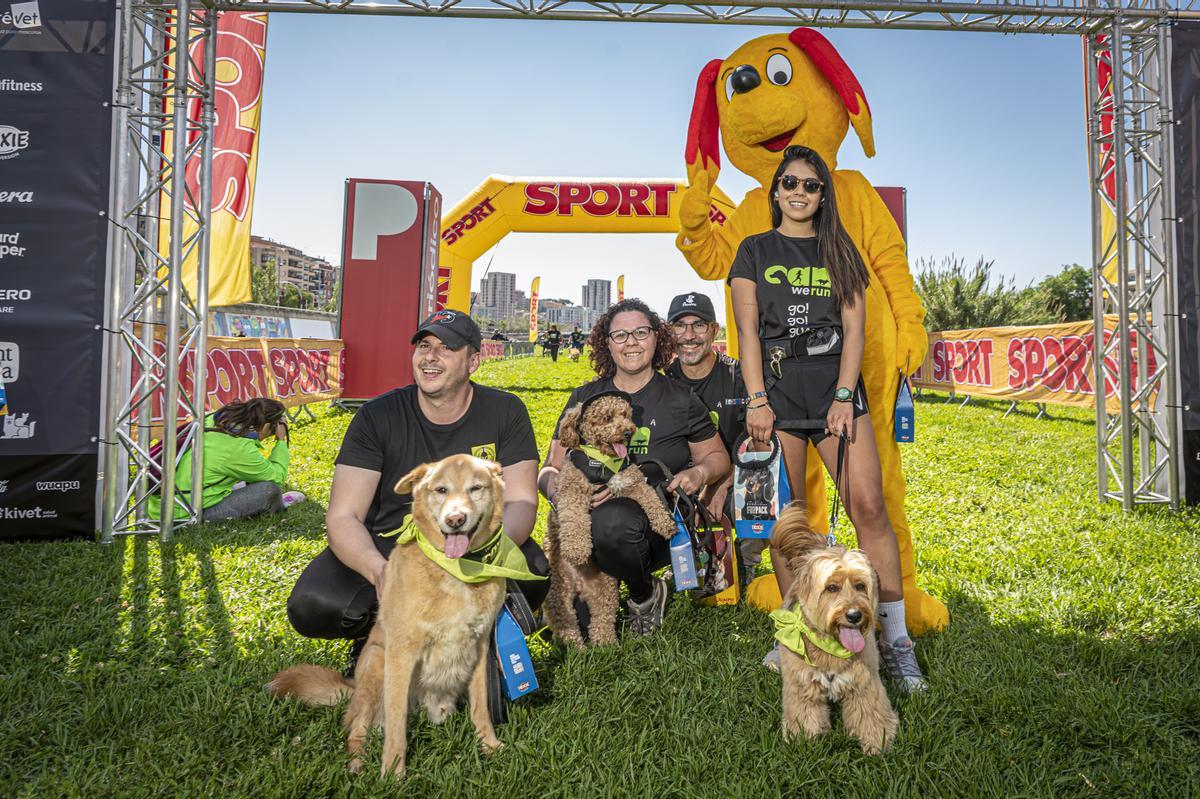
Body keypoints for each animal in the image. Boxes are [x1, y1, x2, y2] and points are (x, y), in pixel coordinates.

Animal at [267, 453, 511, 777]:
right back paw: (358, 761)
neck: (455, 572)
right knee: (356, 726)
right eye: (441, 490)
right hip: (375, 664)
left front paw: (489, 746)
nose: (455, 520)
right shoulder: (400, 653)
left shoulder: (480, 645)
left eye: (475, 488)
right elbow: (396, 724)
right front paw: (393, 772)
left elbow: (480, 707)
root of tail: (353, 688)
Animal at [549, 393, 681, 647]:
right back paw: (578, 649)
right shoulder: (572, 490)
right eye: (607, 417)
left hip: (604, 589)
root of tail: (579, 585)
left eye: (626, 415)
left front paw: (665, 523)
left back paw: (605, 646)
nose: (628, 431)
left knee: (601, 620)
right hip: (558, 594)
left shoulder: (632, 482)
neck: (601, 462)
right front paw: (577, 549)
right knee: (565, 625)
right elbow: (574, 520)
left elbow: (652, 499)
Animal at [768, 503, 902, 753]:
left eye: (860, 586)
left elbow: (871, 716)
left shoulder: (864, 685)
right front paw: (805, 742)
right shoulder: (802, 687)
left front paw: (877, 742)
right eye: (831, 588)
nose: (854, 615)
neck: (831, 646)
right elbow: (805, 716)